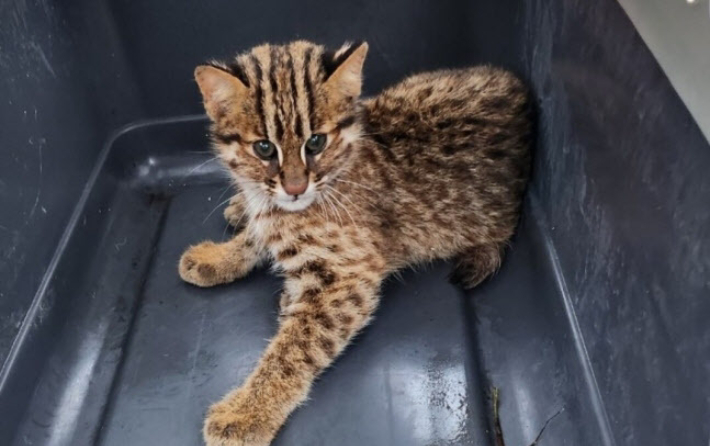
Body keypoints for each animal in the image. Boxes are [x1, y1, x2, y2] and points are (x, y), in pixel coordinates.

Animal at [181, 41, 532, 446]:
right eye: (265, 148)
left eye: (316, 142)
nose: (295, 187)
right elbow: (259, 233)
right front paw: (219, 256)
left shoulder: (350, 277)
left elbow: (295, 347)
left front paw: (247, 412)